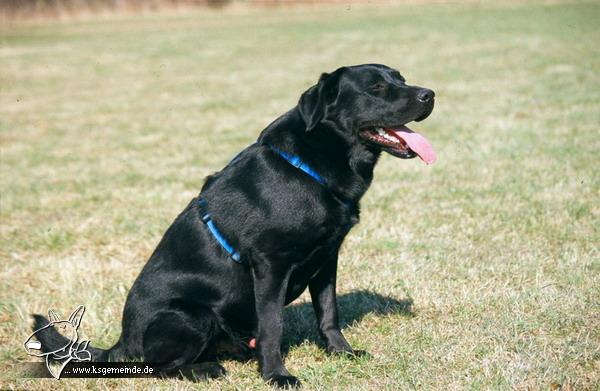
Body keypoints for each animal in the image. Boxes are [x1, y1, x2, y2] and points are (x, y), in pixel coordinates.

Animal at [31, 64, 436, 388]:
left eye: (400, 79)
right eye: (376, 88)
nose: (429, 94)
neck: (309, 167)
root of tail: (123, 342)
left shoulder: (327, 257)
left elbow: (328, 313)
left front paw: (341, 352)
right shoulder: (270, 264)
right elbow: (272, 325)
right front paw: (276, 375)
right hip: (189, 315)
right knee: (156, 366)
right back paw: (205, 370)